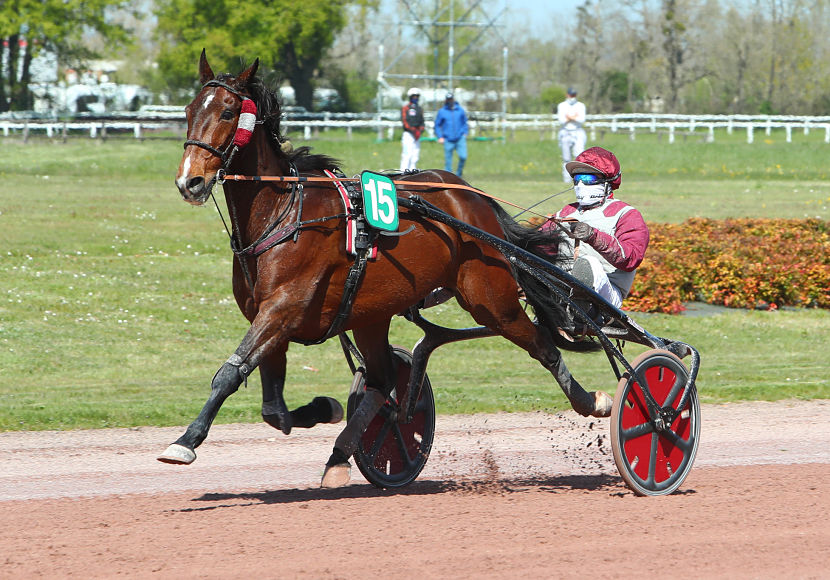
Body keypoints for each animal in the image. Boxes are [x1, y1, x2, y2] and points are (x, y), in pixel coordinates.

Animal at [161, 49, 612, 488]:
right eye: (188, 109)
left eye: (227, 112)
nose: (190, 182)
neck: (283, 213)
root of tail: (473, 199)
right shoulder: (271, 316)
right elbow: (273, 408)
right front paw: (322, 408)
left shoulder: (283, 308)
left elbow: (229, 374)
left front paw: (185, 441)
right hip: (373, 314)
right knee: (382, 383)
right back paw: (344, 453)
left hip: (491, 298)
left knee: (543, 345)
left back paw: (594, 401)